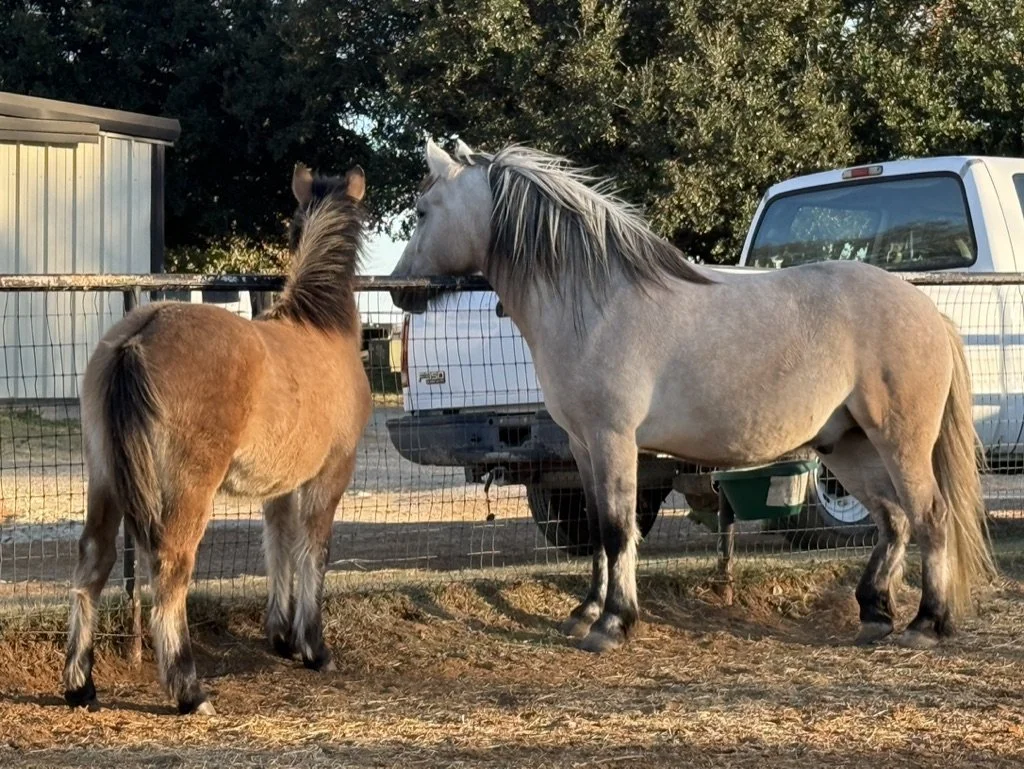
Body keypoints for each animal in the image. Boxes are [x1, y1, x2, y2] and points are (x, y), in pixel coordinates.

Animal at [63, 163, 372, 715]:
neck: (321, 331)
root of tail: (140, 333)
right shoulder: (331, 474)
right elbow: (314, 550)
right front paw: (314, 648)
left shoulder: (280, 487)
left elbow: (278, 545)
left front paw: (282, 637)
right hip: (188, 492)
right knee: (170, 573)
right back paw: (189, 690)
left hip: (104, 477)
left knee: (92, 562)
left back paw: (81, 686)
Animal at [390, 138, 996, 655]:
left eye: (421, 211)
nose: (399, 289)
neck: (597, 302)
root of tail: (928, 311)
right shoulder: (582, 445)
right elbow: (596, 531)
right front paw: (585, 612)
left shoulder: (613, 440)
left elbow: (617, 529)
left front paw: (614, 623)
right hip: (846, 444)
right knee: (894, 520)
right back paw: (874, 614)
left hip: (898, 442)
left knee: (930, 515)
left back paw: (926, 624)